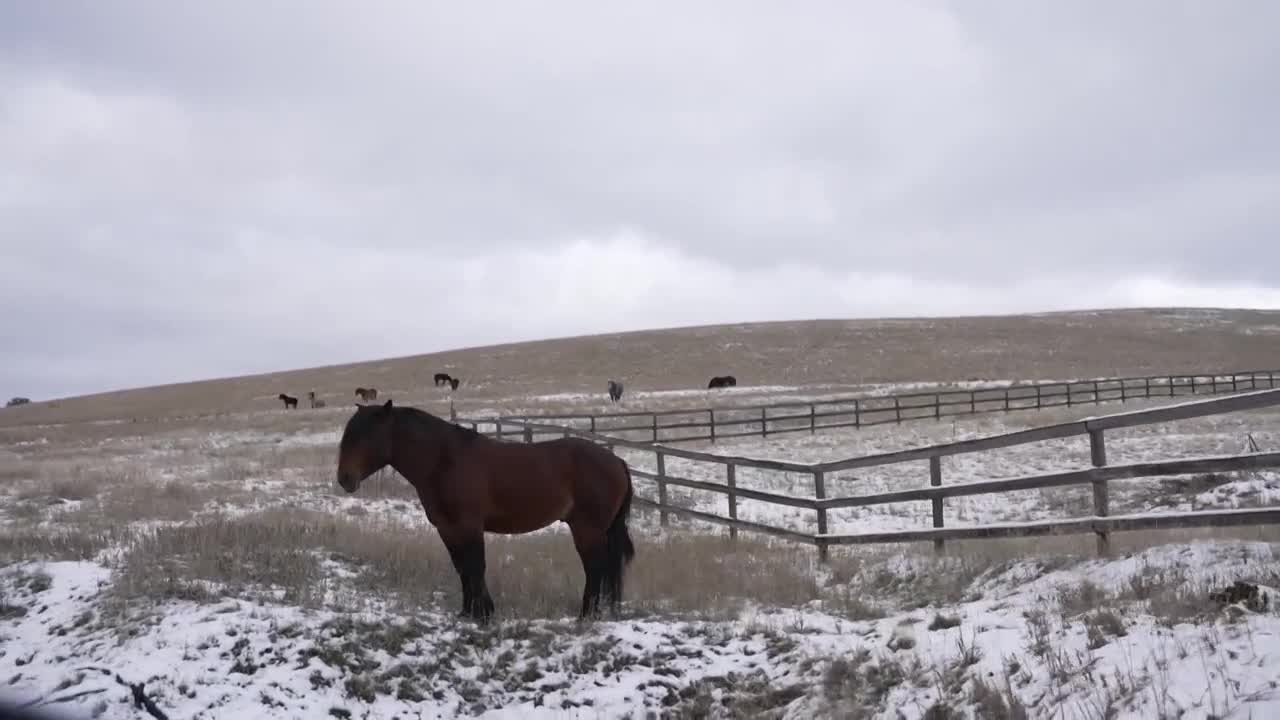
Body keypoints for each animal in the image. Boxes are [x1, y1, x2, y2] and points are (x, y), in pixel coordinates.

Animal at [336, 399, 636, 623]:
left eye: (367, 436)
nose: (344, 479)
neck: (443, 461)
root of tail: (617, 461)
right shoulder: (447, 528)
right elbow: (462, 568)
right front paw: (467, 612)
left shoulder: (469, 526)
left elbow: (475, 566)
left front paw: (483, 614)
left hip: (586, 529)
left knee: (595, 567)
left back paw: (585, 616)